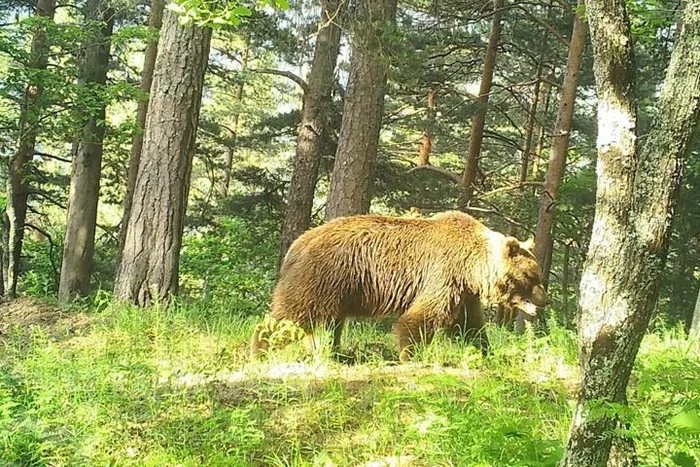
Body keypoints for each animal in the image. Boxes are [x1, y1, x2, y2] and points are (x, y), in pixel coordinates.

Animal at [249, 211, 548, 362]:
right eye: (532, 277)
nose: (545, 300)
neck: (474, 267)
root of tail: (297, 244)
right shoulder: (444, 274)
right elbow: (423, 316)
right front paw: (410, 353)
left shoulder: (464, 292)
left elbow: (468, 325)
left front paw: (486, 352)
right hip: (321, 277)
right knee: (292, 315)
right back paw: (260, 350)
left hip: (336, 289)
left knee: (327, 324)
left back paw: (332, 353)